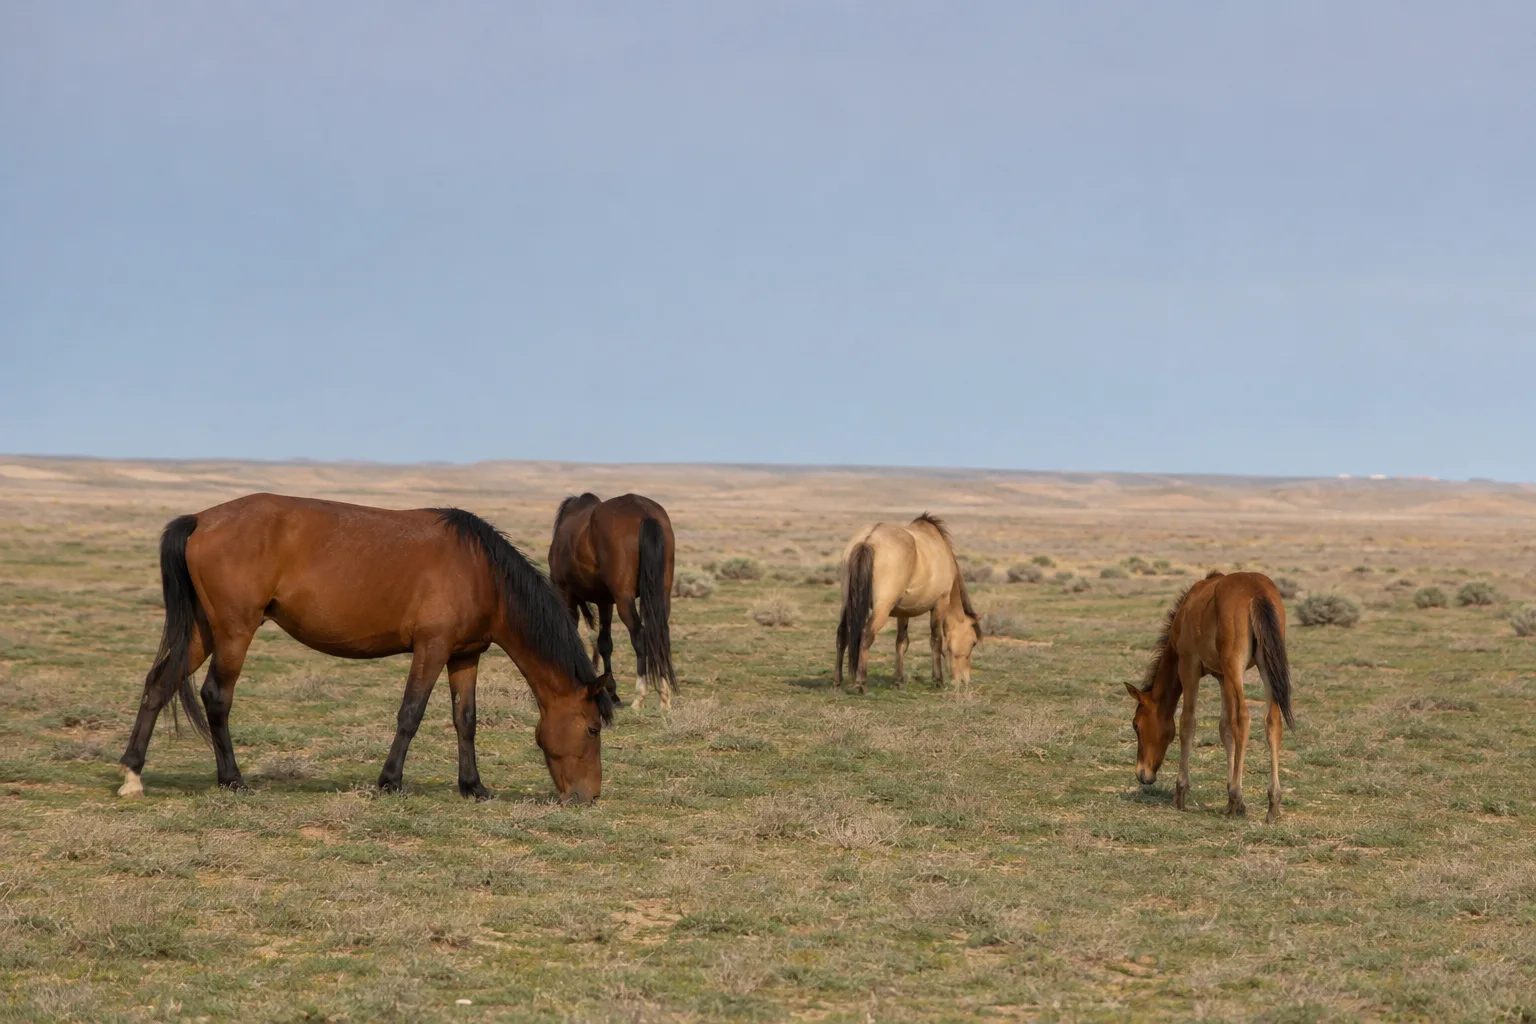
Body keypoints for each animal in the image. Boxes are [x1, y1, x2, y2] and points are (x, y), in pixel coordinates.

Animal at [117, 494, 614, 804]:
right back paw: (232, 780)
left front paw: (473, 787)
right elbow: (411, 714)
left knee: (158, 684)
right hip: (234, 632)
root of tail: (201, 519)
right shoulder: (431, 649)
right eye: (593, 729)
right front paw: (389, 782)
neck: (482, 573)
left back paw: (132, 775)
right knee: (216, 697)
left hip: (204, 631)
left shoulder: (464, 655)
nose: (588, 797)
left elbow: (466, 720)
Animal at [548, 493, 677, 709]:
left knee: (640, 635)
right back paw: (665, 696)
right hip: (661, 595)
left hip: (623, 598)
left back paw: (640, 696)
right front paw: (612, 692)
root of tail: (644, 513)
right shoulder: (605, 602)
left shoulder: (566, 592)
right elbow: (604, 643)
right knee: (660, 634)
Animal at [834, 513, 982, 693]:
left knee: (842, 634)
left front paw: (898, 680)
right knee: (867, 634)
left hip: (847, 603)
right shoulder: (940, 604)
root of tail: (868, 539)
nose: (964, 681)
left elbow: (901, 642)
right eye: (973, 642)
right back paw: (861, 683)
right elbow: (936, 641)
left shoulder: (903, 612)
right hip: (882, 608)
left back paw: (837, 681)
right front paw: (938, 680)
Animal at [1125, 570, 1295, 821]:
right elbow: (1225, 728)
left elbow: (1187, 723)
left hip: (1235, 665)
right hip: (1265, 666)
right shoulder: (1222, 676)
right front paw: (1233, 798)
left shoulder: (1189, 666)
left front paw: (1181, 792)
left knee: (1243, 717)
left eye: (1136, 724)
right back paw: (1272, 803)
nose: (1142, 774)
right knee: (1272, 721)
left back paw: (1238, 796)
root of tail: (1257, 592)